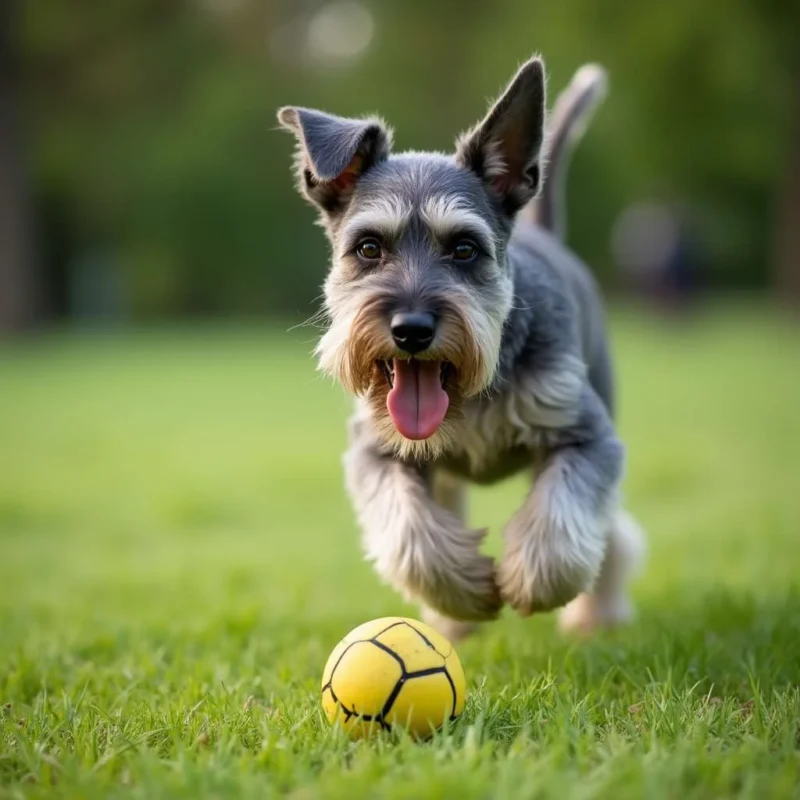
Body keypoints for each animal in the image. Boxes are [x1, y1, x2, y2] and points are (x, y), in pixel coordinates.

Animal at [280, 56, 644, 640]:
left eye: (465, 249)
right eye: (368, 247)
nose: (411, 329)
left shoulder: (584, 436)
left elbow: (561, 523)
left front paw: (529, 582)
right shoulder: (377, 453)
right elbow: (411, 534)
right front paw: (466, 593)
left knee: (613, 532)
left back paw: (599, 614)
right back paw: (449, 623)